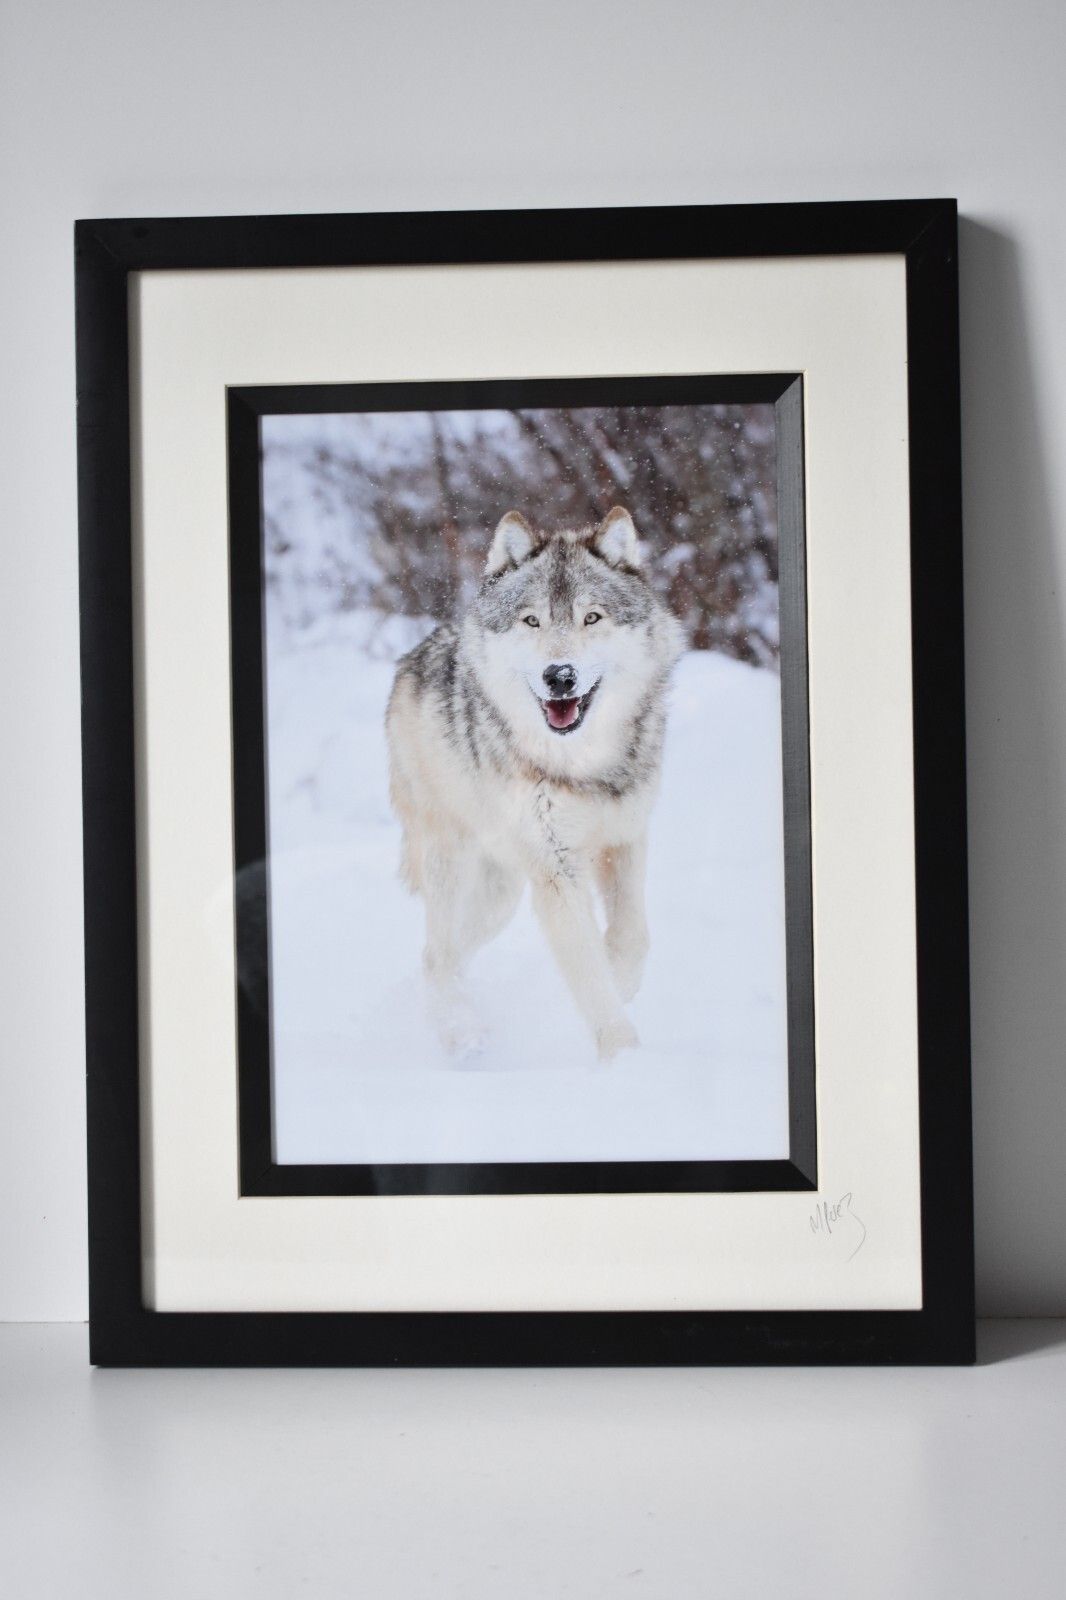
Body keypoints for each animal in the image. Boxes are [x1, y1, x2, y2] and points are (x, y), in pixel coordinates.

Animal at [386, 506, 686, 1060]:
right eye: (532, 620)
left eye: (592, 618)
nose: (559, 676)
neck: (582, 766)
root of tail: (412, 657)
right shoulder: (557, 870)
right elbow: (588, 972)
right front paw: (624, 1058)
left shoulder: (625, 837)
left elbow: (631, 936)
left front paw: (623, 982)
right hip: (451, 860)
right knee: (439, 952)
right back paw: (460, 1033)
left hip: (500, 895)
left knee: (444, 952)